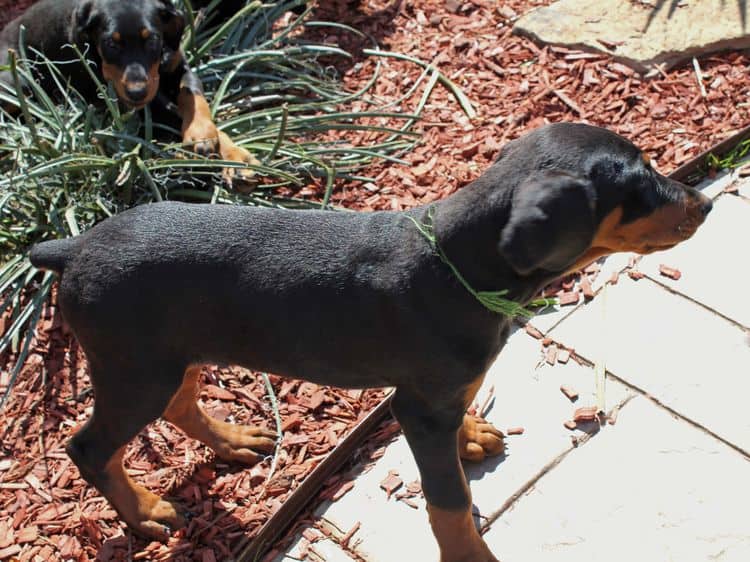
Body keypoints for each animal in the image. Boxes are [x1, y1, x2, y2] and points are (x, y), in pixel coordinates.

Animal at [0, 0, 256, 177]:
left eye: (152, 40)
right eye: (111, 44)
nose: (137, 92)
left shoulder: (179, 65)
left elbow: (192, 95)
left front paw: (217, 143)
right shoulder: (128, 99)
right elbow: (171, 113)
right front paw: (217, 147)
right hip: (16, 80)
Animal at [27, 123, 712, 560]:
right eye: (638, 184)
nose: (703, 205)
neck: (458, 265)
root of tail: (74, 247)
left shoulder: (434, 395)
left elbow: (459, 425)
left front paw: (470, 438)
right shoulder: (420, 406)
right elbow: (448, 502)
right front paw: (471, 554)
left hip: (169, 352)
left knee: (178, 402)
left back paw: (232, 440)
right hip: (134, 364)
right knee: (89, 446)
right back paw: (145, 512)